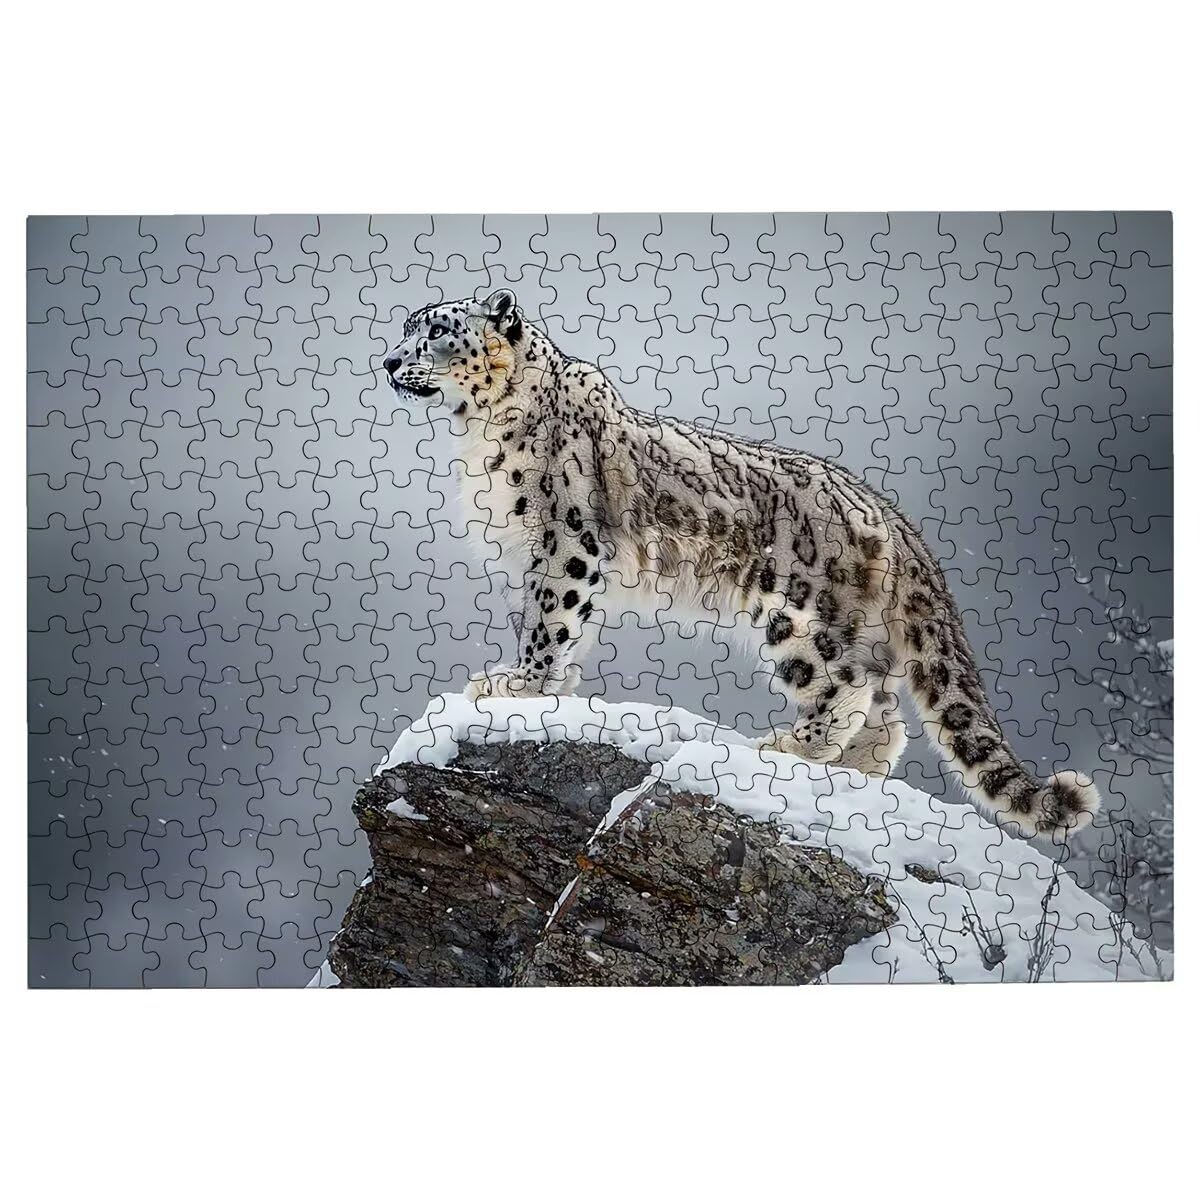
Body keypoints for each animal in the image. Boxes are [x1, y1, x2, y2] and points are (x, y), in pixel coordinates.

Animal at [382, 289, 1101, 841]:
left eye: (436, 332)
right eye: (407, 326)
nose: (387, 359)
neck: (478, 432)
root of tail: (886, 511)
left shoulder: (566, 541)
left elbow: (551, 620)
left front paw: (517, 686)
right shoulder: (541, 555)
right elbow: (559, 625)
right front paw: (547, 689)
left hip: (798, 613)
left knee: (848, 686)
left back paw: (791, 747)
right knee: (887, 704)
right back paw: (853, 769)